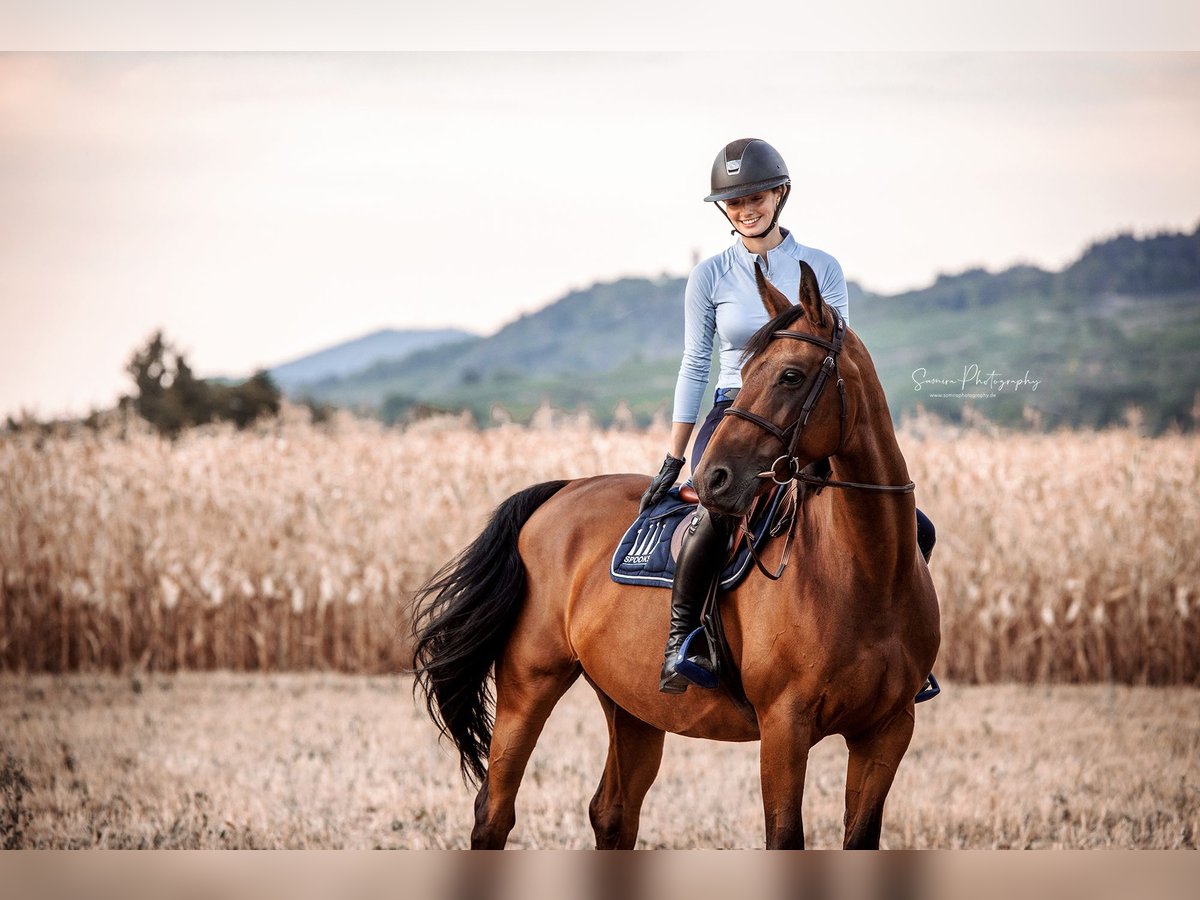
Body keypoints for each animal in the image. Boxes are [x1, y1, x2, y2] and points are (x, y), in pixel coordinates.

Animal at [410, 260, 936, 854]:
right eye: (745, 367)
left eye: (790, 375)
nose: (712, 479)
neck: (867, 571)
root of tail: (561, 491)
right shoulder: (785, 728)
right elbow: (784, 836)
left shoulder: (887, 731)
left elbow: (861, 835)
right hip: (530, 683)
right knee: (494, 810)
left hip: (631, 703)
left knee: (611, 814)